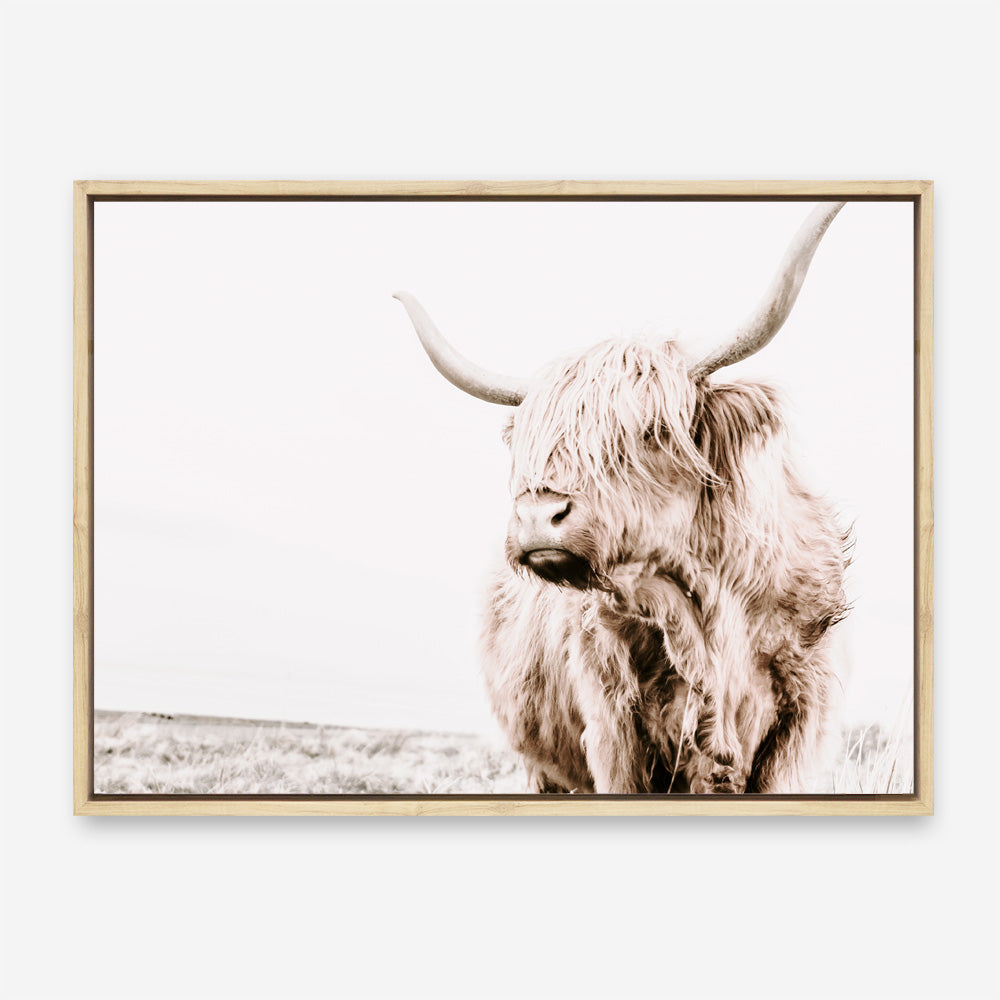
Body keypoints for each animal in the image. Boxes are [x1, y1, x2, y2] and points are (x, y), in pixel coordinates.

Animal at [394, 202, 851, 794]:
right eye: (532, 444)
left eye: (652, 430)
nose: (538, 517)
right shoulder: (612, 730)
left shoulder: (797, 729)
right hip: (539, 764)